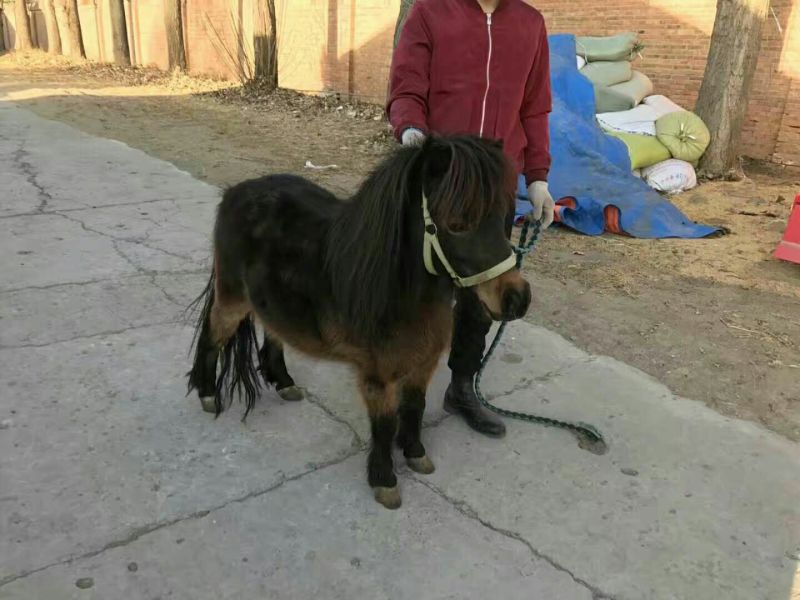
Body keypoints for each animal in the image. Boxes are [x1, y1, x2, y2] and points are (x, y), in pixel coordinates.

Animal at [187, 135, 532, 509]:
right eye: (457, 223)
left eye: (502, 217)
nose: (518, 299)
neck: (397, 290)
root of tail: (235, 192)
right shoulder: (377, 375)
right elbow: (384, 424)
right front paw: (385, 480)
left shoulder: (423, 365)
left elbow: (415, 407)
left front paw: (415, 454)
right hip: (232, 299)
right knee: (212, 335)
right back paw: (207, 395)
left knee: (274, 333)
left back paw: (284, 383)